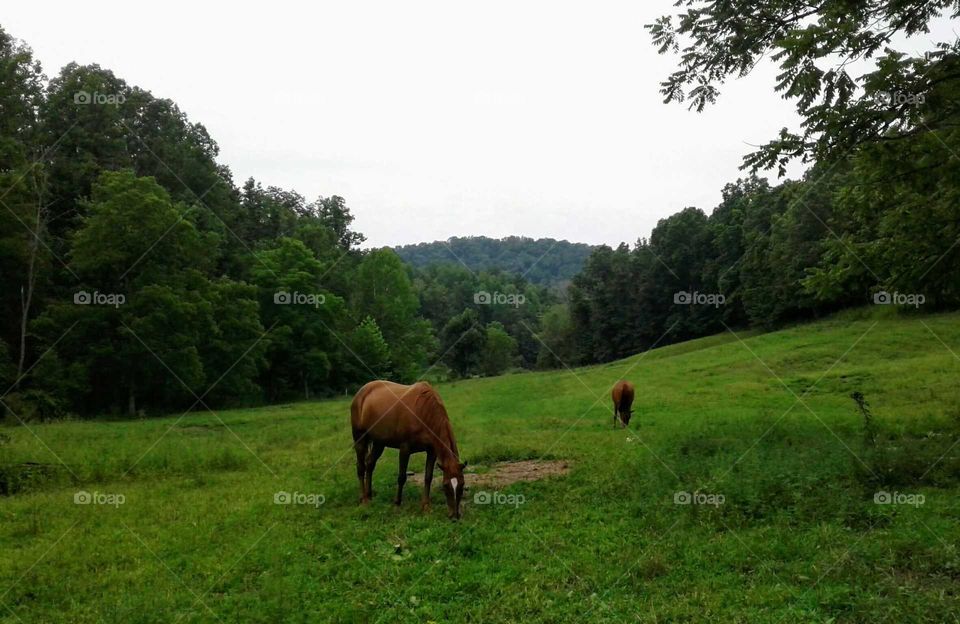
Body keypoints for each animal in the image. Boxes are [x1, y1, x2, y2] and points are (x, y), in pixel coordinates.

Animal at [350, 380, 466, 520]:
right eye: (445, 485)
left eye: (462, 485)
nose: (454, 516)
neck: (423, 410)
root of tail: (361, 393)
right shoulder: (405, 449)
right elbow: (401, 477)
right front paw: (397, 503)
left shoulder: (431, 451)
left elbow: (428, 477)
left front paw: (425, 506)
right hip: (360, 439)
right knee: (361, 467)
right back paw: (364, 499)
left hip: (379, 443)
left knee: (370, 464)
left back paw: (369, 495)